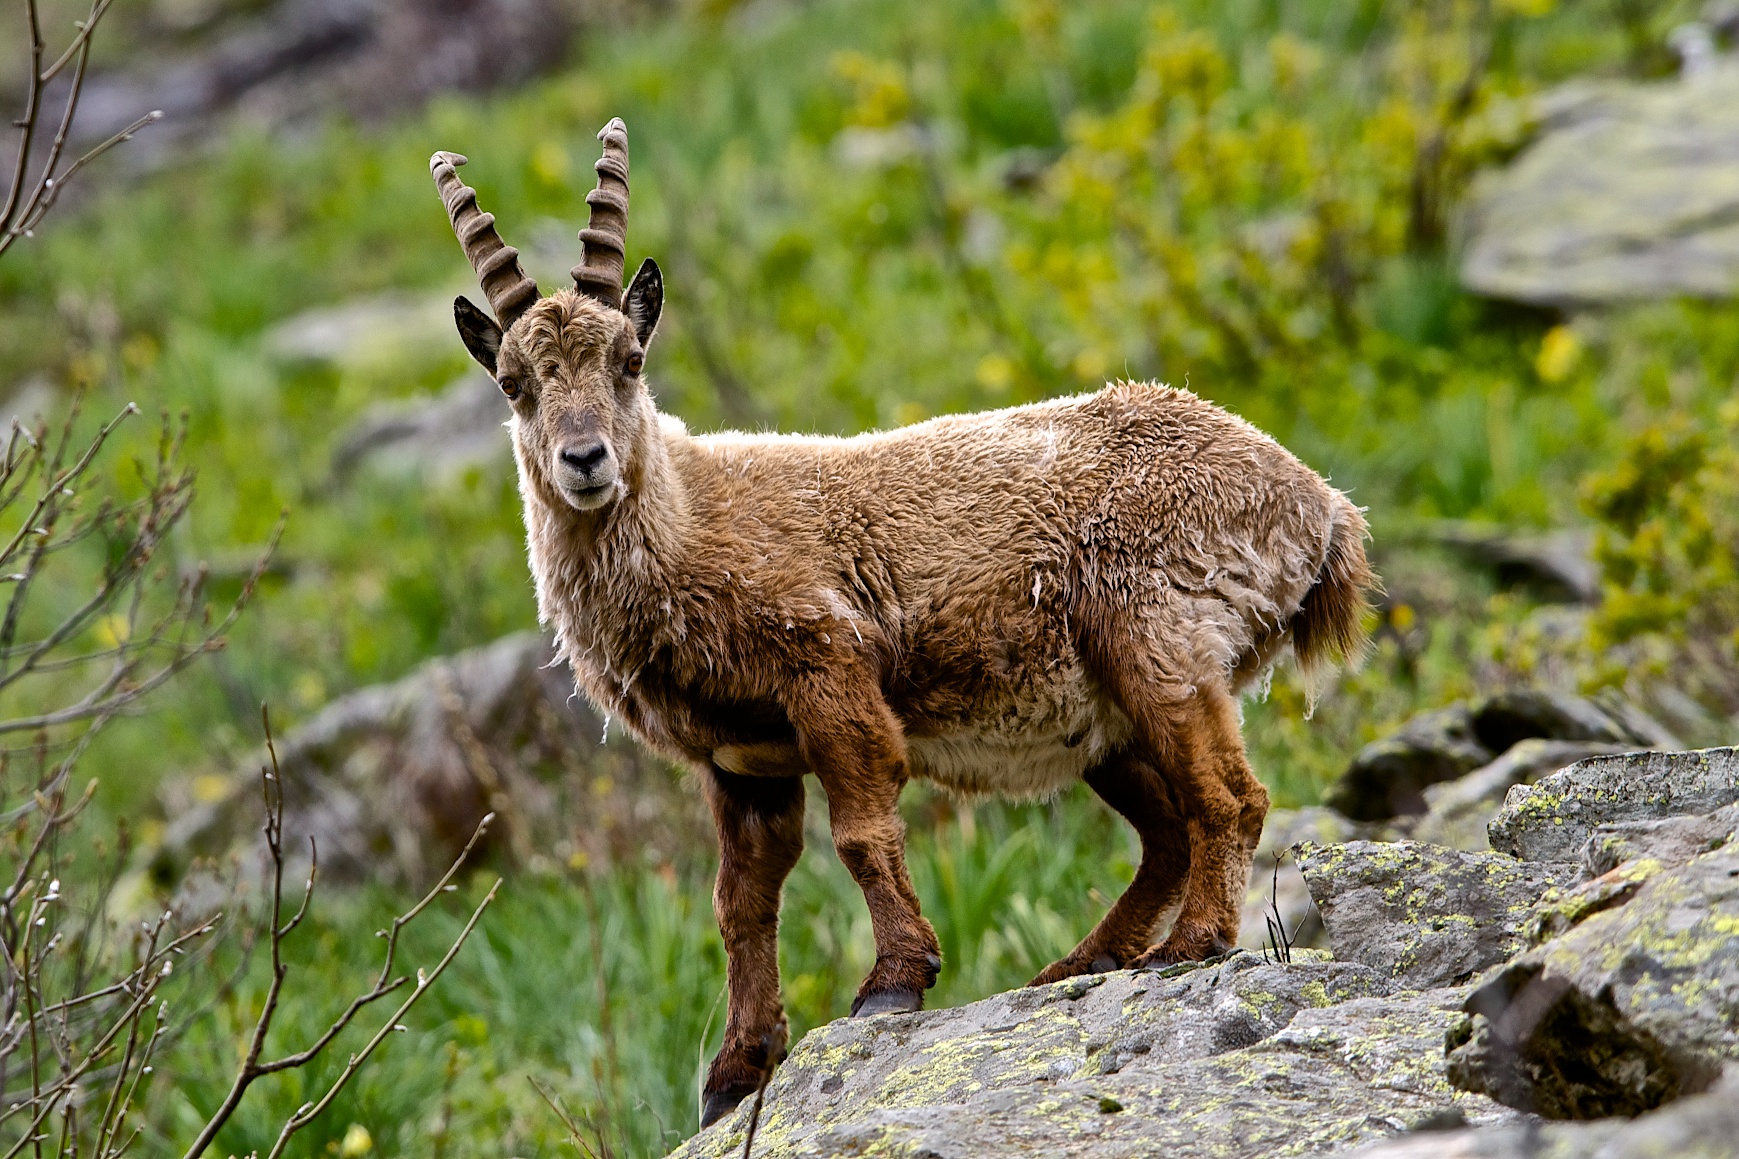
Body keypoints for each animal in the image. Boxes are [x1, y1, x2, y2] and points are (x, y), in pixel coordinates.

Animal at [431, 119, 1377, 1128]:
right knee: (1164, 830)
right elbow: (741, 898)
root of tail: (1314, 502)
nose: (585, 460)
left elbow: (860, 830)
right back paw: (1081, 961)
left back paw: (1189, 943)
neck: (691, 519)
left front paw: (892, 981)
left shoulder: (830, 676)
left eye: (630, 361)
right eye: (513, 382)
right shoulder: (742, 761)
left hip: (1158, 644)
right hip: (1104, 721)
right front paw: (735, 1071)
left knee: (1229, 798)